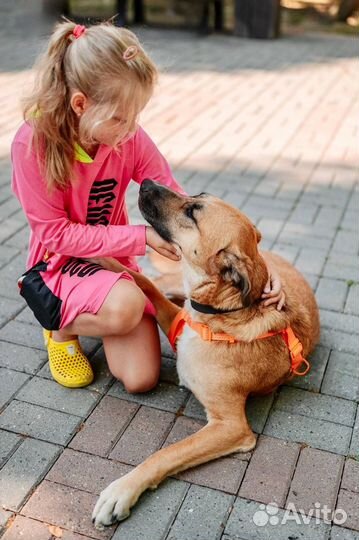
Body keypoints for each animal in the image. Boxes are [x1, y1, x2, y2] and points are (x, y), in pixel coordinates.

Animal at [93, 180, 320, 528]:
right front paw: (103, 259)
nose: (146, 183)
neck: (220, 315)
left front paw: (122, 490)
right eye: (196, 196)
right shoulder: (176, 317)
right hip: (175, 284)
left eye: (193, 212)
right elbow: (144, 282)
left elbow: (167, 453)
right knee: (158, 280)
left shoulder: (231, 426)